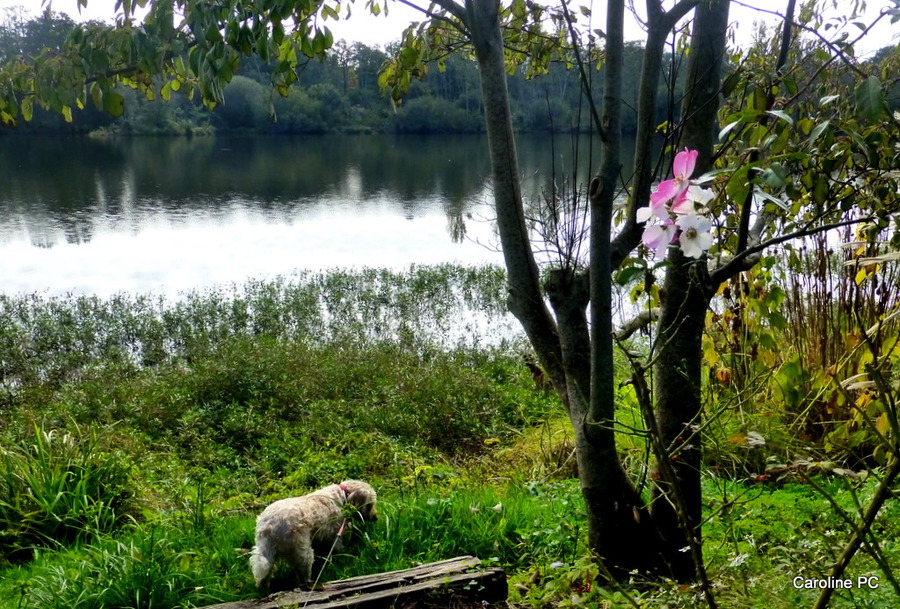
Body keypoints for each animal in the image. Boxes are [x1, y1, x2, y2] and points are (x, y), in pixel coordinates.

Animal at [250, 480, 380, 588]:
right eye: (369, 505)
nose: (376, 518)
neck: (342, 495)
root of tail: (268, 526)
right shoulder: (335, 532)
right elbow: (338, 546)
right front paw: (342, 552)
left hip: (268, 554)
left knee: (264, 572)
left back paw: (263, 587)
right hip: (302, 551)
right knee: (304, 571)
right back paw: (309, 583)